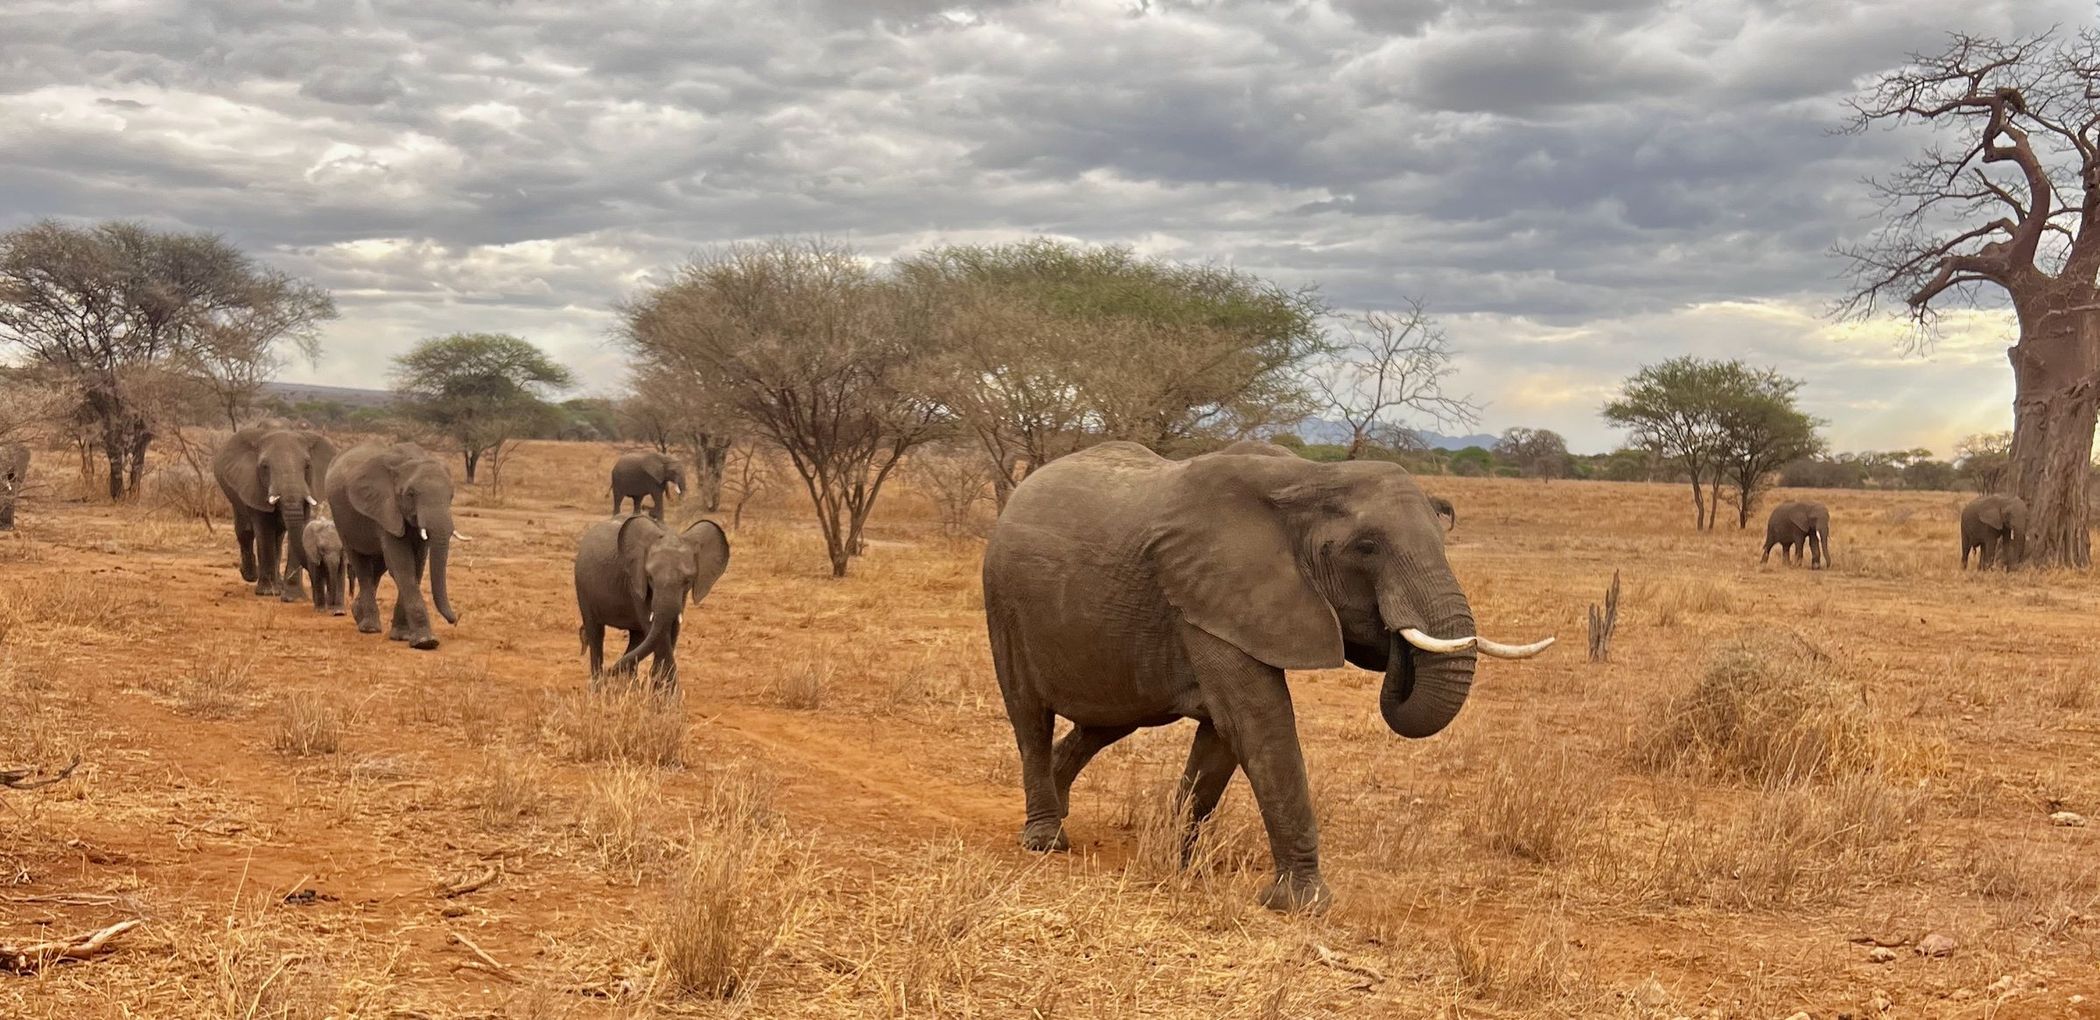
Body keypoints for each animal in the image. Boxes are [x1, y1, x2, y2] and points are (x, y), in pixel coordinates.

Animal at [212, 424, 337, 600]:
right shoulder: (254, 485)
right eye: (265, 467)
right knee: (245, 531)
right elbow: (264, 530)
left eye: (307, 466)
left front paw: (293, 597)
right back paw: (251, 576)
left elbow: (300, 526)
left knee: (277, 536)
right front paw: (268, 593)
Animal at [324, 443, 460, 650]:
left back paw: (358, 613)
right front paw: (426, 642)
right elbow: (402, 566)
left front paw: (403, 636)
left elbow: (416, 566)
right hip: (341, 520)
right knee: (361, 564)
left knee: (378, 567)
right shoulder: (385, 509)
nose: (455, 620)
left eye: (451, 496)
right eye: (410, 494)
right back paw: (369, 628)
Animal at [573, 514, 730, 690]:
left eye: (688, 580)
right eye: (650, 577)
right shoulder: (635, 582)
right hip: (583, 588)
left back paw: (630, 686)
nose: (610, 671)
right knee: (596, 633)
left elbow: (671, 630)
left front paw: (660, 693)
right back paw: (599, 688)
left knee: (636, 638)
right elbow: (657, 631)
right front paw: (667, 696)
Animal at [981, 440, 1554, 913]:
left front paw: (1172, 861)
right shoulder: (1213, 592)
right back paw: (1045, 839)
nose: (1394, 639)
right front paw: (1300, 905)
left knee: (1107, 721)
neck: (1309, 480)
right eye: (1367, 548)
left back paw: (1058, 806)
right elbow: (1258, 721)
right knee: (1030, 716)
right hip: (1002, 601)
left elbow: (1223, 739)